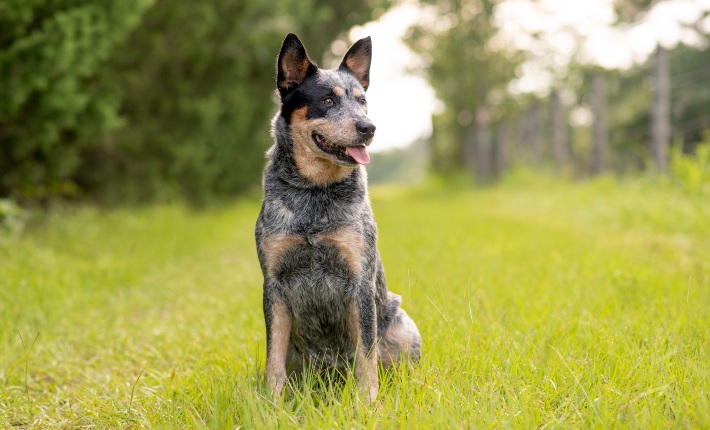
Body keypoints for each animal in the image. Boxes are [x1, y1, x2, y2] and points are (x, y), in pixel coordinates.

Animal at [256, 33, 422, 404]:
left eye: (362, 101)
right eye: (328, 100)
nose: (368, 127)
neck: (314, 194)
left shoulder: (359, 282)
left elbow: (366, 354)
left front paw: (369, 402)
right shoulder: (274, 284)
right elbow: (273, 357)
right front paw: (271, 403)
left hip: (403, 323)